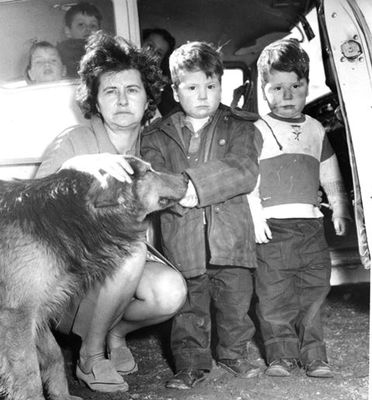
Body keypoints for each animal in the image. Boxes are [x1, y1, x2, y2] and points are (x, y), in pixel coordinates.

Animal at [0, 156, 186, 400]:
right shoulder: (16, 315)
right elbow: (30, 377)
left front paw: (62, 396)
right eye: (148, 171)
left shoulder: (37, 311)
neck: (66, 215)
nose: (186, 177)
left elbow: (54, 355)